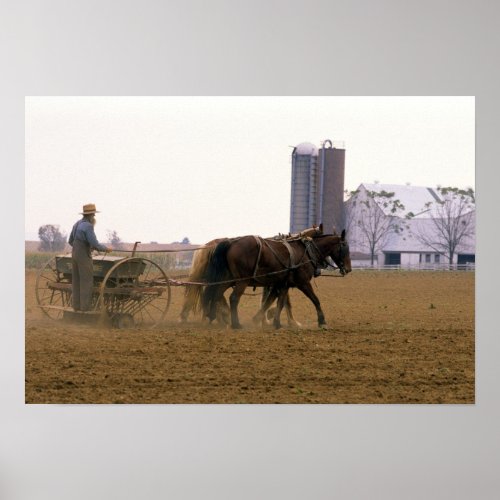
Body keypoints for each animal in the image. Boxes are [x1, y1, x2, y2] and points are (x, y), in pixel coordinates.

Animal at [203, 229, 352, 328]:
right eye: (345, 248)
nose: (349, 269)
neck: (307, 252)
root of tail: (231, 242)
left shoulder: (283, 284)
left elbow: (278, 302)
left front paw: (275, 322)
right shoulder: (303, 283)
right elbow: (315, 300)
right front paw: (322, 322)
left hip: (230, 278)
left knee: (217, 293)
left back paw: (212, 316)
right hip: (242, 280)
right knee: (233, 298)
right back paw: (235, 324)